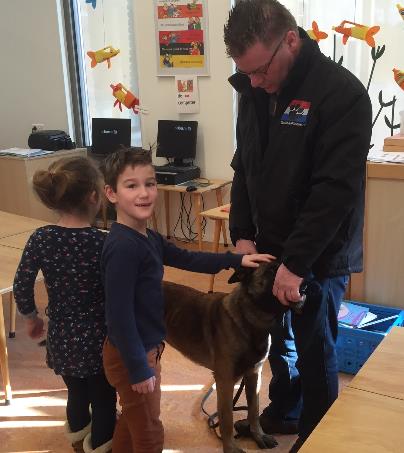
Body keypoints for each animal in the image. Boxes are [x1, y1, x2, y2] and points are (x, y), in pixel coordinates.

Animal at [163, 258, 286, 452]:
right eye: (272, 270)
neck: (248, 320)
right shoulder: (225, 381)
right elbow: (227, 418)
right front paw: (230, 447)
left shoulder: (253, 375)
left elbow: (254, 411)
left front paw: (258, 435)